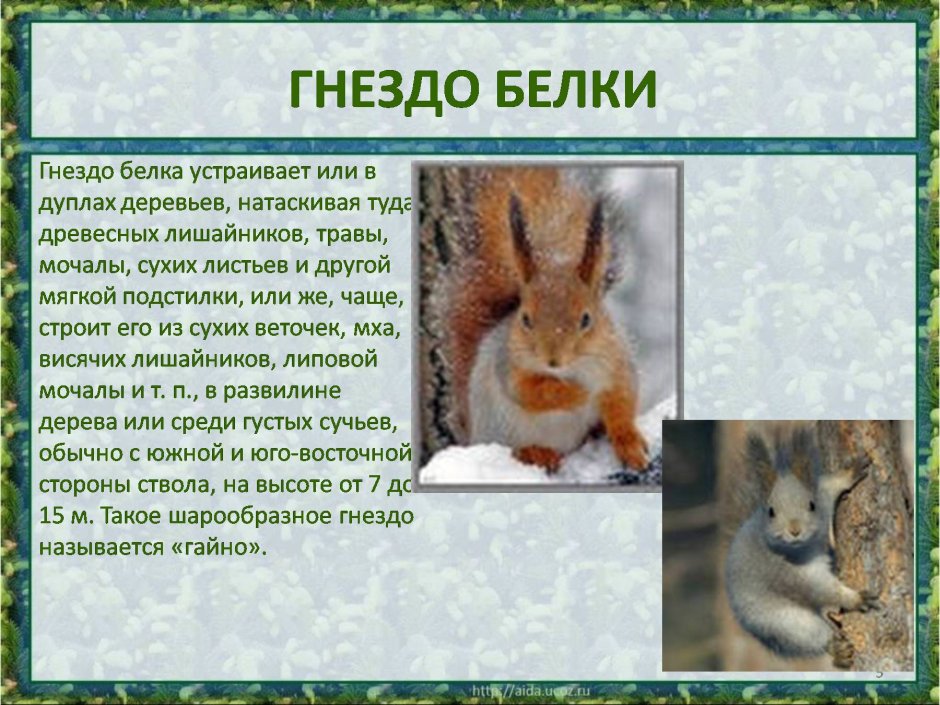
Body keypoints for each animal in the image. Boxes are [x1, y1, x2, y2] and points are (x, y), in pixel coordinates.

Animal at [445, 167, 647, 473]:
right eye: (525, 319)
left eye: (586, 319)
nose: (553, 361)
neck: (570, 370)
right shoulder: (508, 365)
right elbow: (530, 391)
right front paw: (576, 394)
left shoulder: (617, 364)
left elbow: (622, 402)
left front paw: (630, 443)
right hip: (496, 430)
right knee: (514, 449)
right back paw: (536, 452)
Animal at [723, 424, 877, 669]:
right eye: (771, 512)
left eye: (811, 505)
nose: (794, 530)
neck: (803, 548)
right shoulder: (789, 575)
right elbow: (822, 590)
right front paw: (855, 599)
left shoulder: (822, 503)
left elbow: (828, 488)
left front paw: (849, 473)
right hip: (789, 626)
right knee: (817, 638)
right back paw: (838, 651)